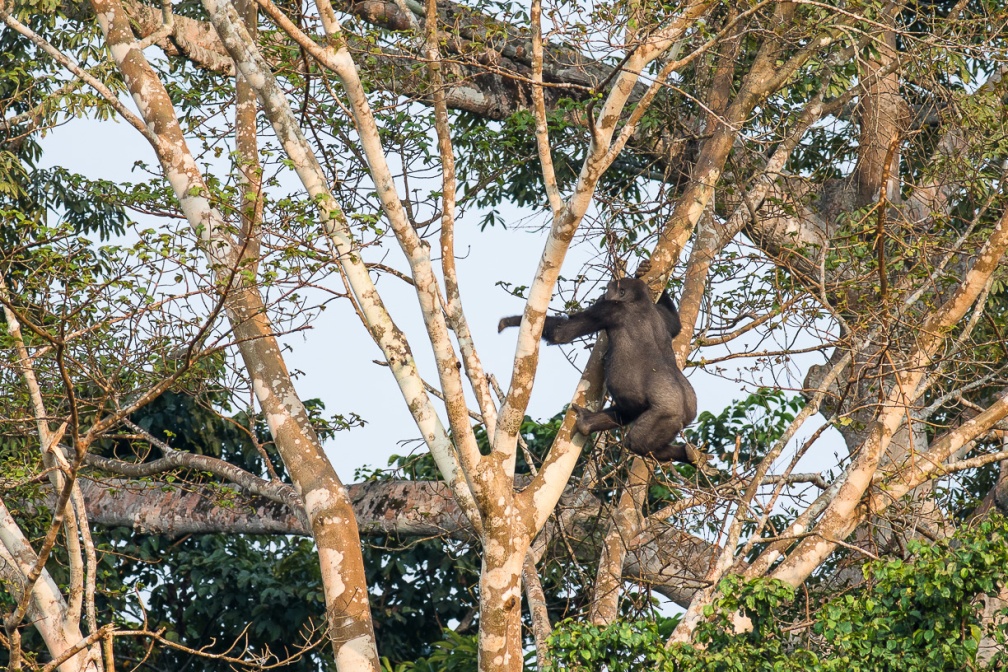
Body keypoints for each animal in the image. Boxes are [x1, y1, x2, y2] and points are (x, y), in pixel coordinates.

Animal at [498, 276, 703, 465]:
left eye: (609, 290)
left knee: (637, 441)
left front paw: (512, 320)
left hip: (667, 415)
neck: (638, 302)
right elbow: (676, 326)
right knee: (629, 412)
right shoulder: (660, 315)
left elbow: (562, 332)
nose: (603, 295)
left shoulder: (608, 309)